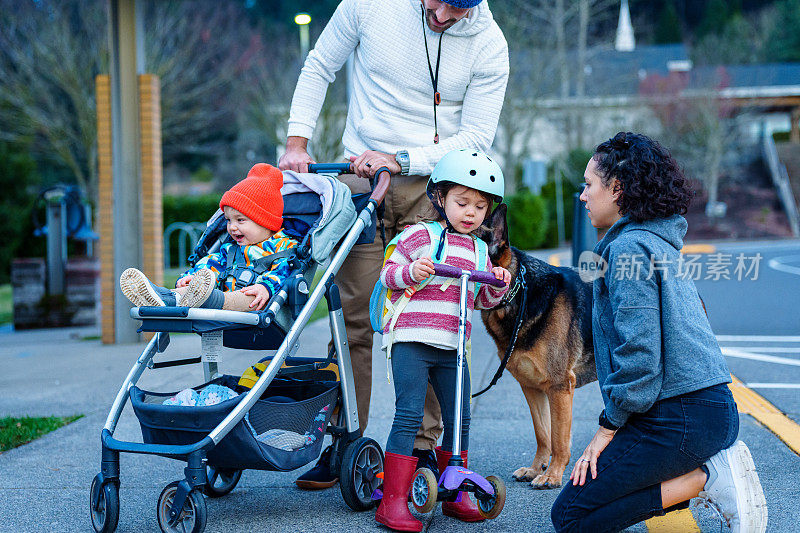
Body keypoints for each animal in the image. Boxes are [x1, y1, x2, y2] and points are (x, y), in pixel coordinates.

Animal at [478, 206, 596, 488]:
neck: (518, 293)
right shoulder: (531, 388)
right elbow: (543, 434)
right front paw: (535, 469)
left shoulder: (559, 387)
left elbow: (559, 439)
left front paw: (553, 474)